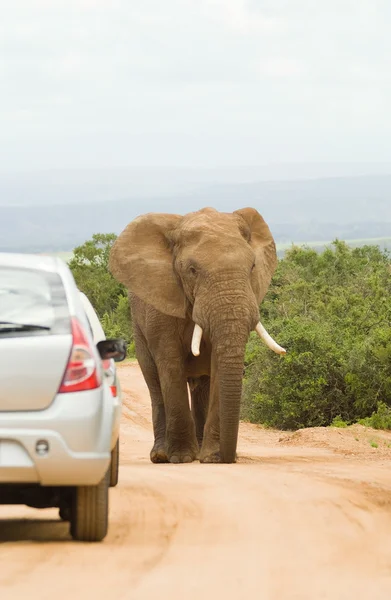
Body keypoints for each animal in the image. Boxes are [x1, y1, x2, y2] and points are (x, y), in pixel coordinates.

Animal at [108, 206, 286, 464]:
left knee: (202, 386)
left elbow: (217, 364)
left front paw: (211, 457)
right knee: (154, 383)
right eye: (192, 270)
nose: (229, 457)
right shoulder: (161, 306)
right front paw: (181, 457)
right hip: (139, 329)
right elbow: (170, 364)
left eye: (252, 267)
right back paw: (161, 455)